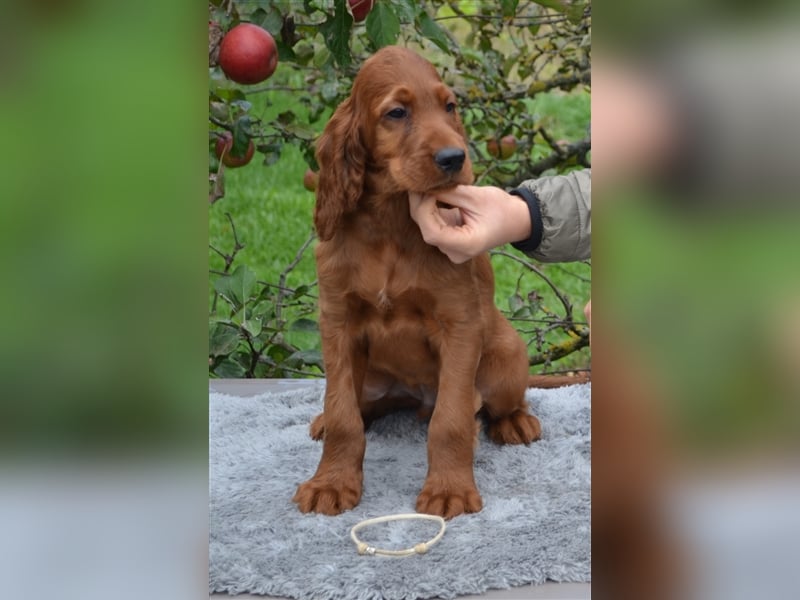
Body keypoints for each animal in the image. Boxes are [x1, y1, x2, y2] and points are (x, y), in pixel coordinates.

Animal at [290, 45, 540, 520]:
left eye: (450, 106)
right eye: (397, 112)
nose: (454, 158)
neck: (391, 224)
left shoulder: (458, 323)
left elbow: (451, 419)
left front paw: (449, 490)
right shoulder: (337, 322)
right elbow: (343, 412)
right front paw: (331, 482)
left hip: (505, 360)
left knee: (491, 404)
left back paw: (515, 421)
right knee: (355, 408)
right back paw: (324, 422)